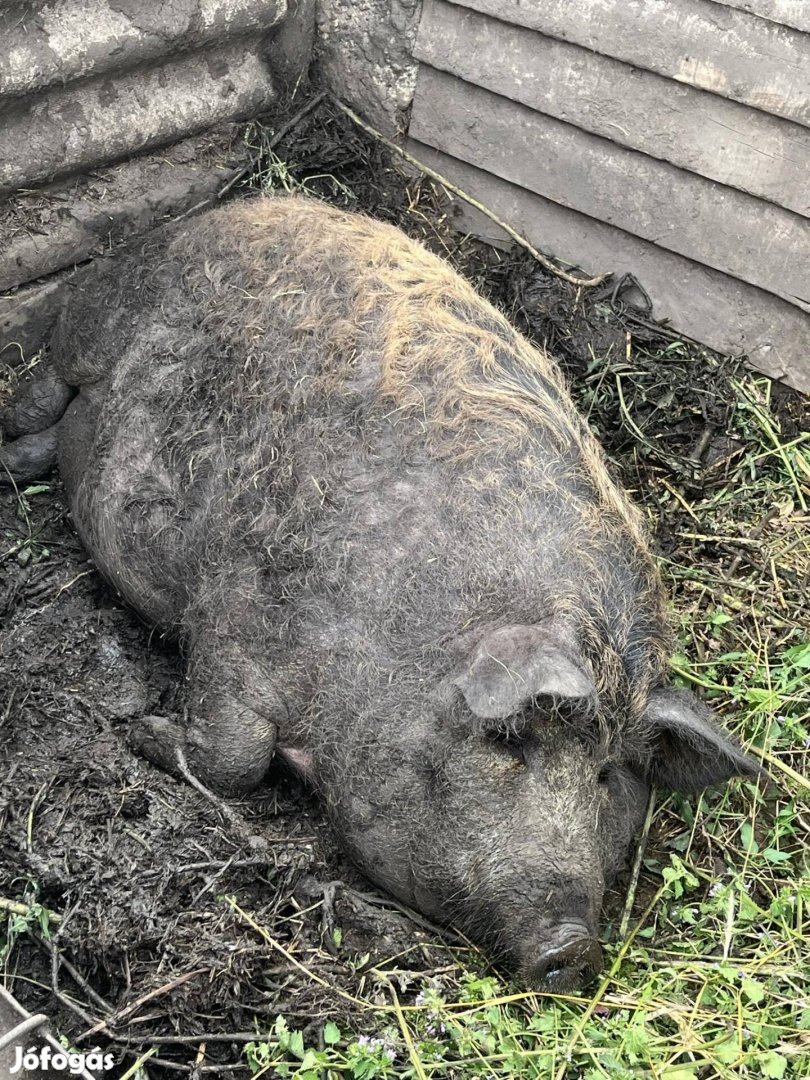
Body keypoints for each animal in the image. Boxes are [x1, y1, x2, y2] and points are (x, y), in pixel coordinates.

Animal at [1, 192, 760, 989]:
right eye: (509, 744)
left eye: (611, 775)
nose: (572, 947)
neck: (416, 634)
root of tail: (228, 209)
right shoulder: (236, 616)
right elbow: (235, 756)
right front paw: (138, 732)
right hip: (89, 323)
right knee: (45, 387)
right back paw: (11, 459)